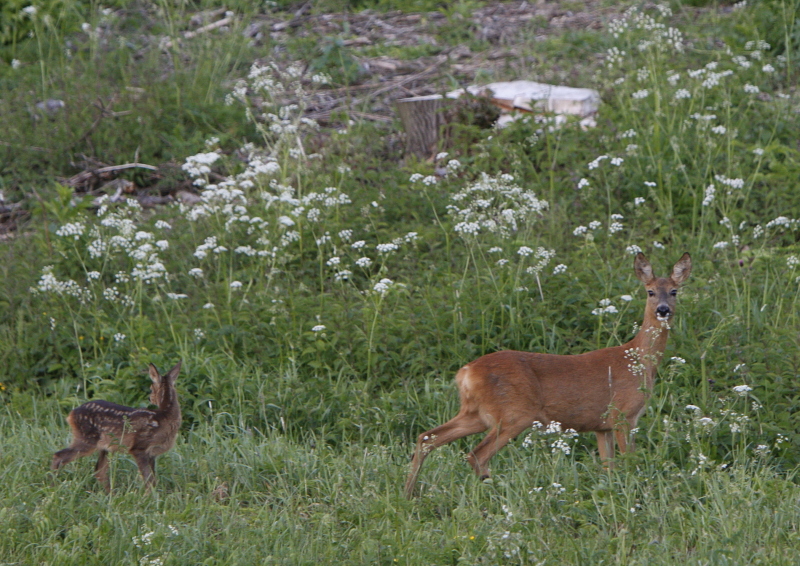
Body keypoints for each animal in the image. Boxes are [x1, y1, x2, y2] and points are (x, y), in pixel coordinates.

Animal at [54, 364, 182, 492]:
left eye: (151, 388)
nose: (150, 398)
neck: (164, 416)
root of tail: (71, 414)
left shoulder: (152, 453)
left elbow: (153, 479)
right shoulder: (139, 446)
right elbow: (149, 480)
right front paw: (148, 495)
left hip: (103, 444)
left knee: (99, 471)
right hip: (86, 438)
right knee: (58, 456)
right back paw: (53, 484)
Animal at [406, 253, 692, 496]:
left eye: (674, 291)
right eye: (650, 291)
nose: (663, 310)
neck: (637, 359)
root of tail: (466, 372)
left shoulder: (602, 426)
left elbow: (608, 467)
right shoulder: (623, 414)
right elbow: (629, 461)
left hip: (476, 413)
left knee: (427, 437)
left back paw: (409, 494)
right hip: (513, 413)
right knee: (476, 454)